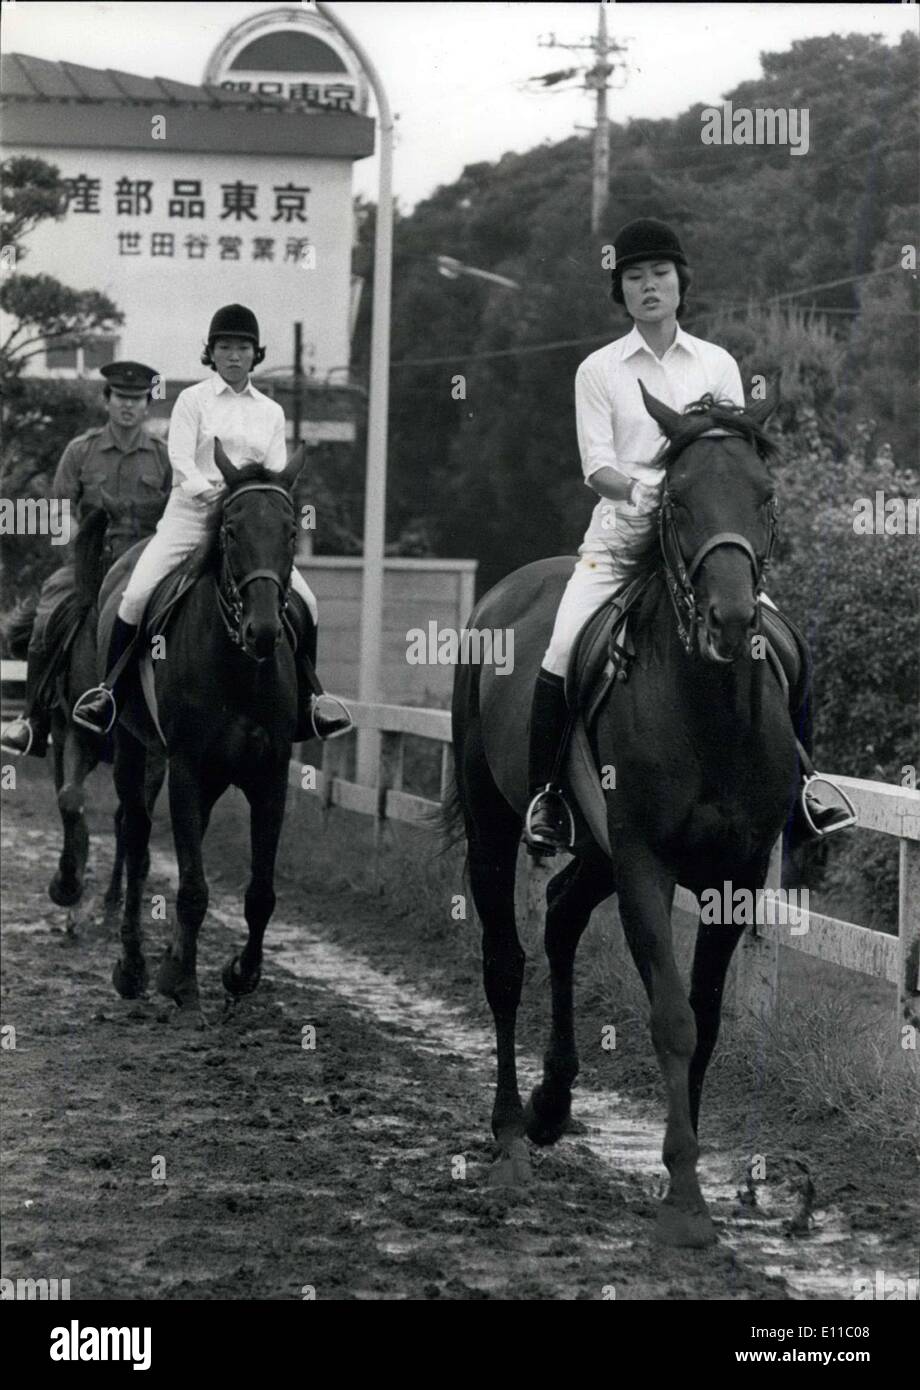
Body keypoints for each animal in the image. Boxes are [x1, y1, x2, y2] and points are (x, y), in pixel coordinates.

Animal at [100, 439, 304, 1017]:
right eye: (230, 530)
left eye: (291, 532)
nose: (263, 631)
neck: (238, 667)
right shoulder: (187, 766)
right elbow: (192, 886)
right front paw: (184, 984)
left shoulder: (270, 775)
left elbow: (260, 893)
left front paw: (241, 974)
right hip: (134, 750)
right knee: (136, 839)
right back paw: (134, 967)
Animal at [450, 383, 806, 1251]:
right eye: (675, 502)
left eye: (766, 496)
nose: (731, 621)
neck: (711, 714)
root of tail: (503, 590)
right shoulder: (647, 862)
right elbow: (673, 1018)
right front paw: (685, 1202)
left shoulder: (735, 877)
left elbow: (705, 1019)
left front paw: (686, 1173)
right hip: (497, 826)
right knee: (506, 963)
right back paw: (512, 1135)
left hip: (598, 854)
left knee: (560, 915)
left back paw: (552, 1105)